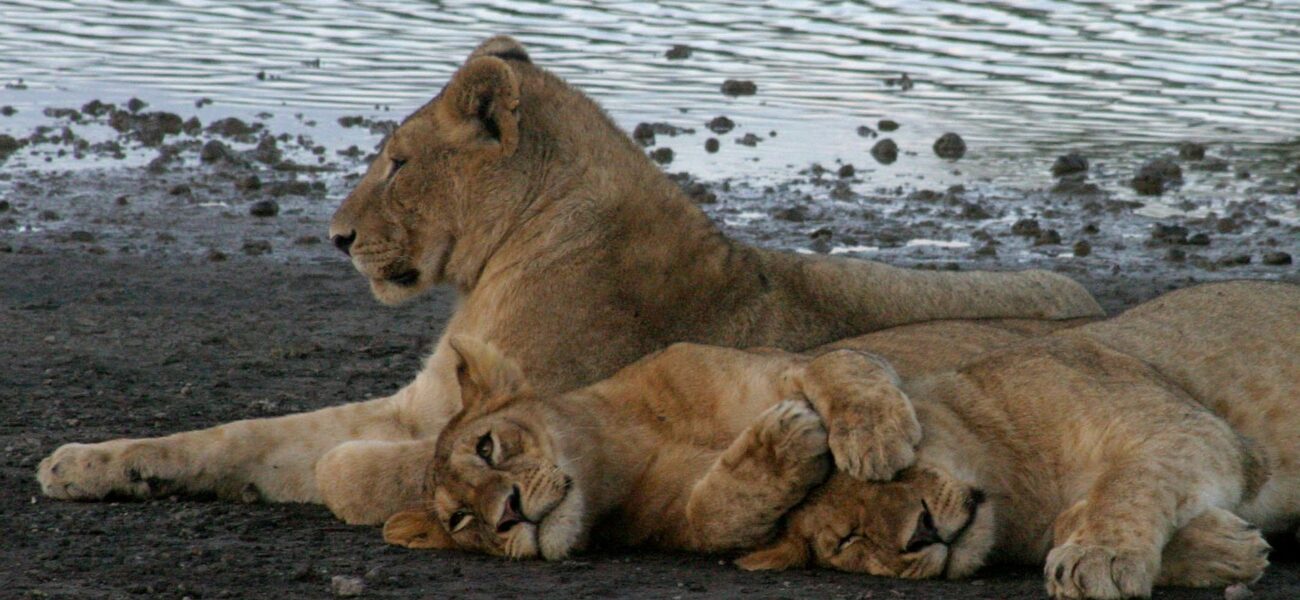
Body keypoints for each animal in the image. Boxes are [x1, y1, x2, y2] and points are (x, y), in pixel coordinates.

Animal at [36, 35, 1102, 526]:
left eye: (398, 162)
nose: (335, 237)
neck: (511, 253)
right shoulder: (415, 401)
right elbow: (237, 434)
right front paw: (87, 461)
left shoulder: (482, 413)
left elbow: (333, 461)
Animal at [737, 281, 1298, 599]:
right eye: (849, 539)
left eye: (898, 471)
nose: (921, 533)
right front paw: (1225, 549)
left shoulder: (1193, 429)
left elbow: (1130, 482)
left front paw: (1099, 556)